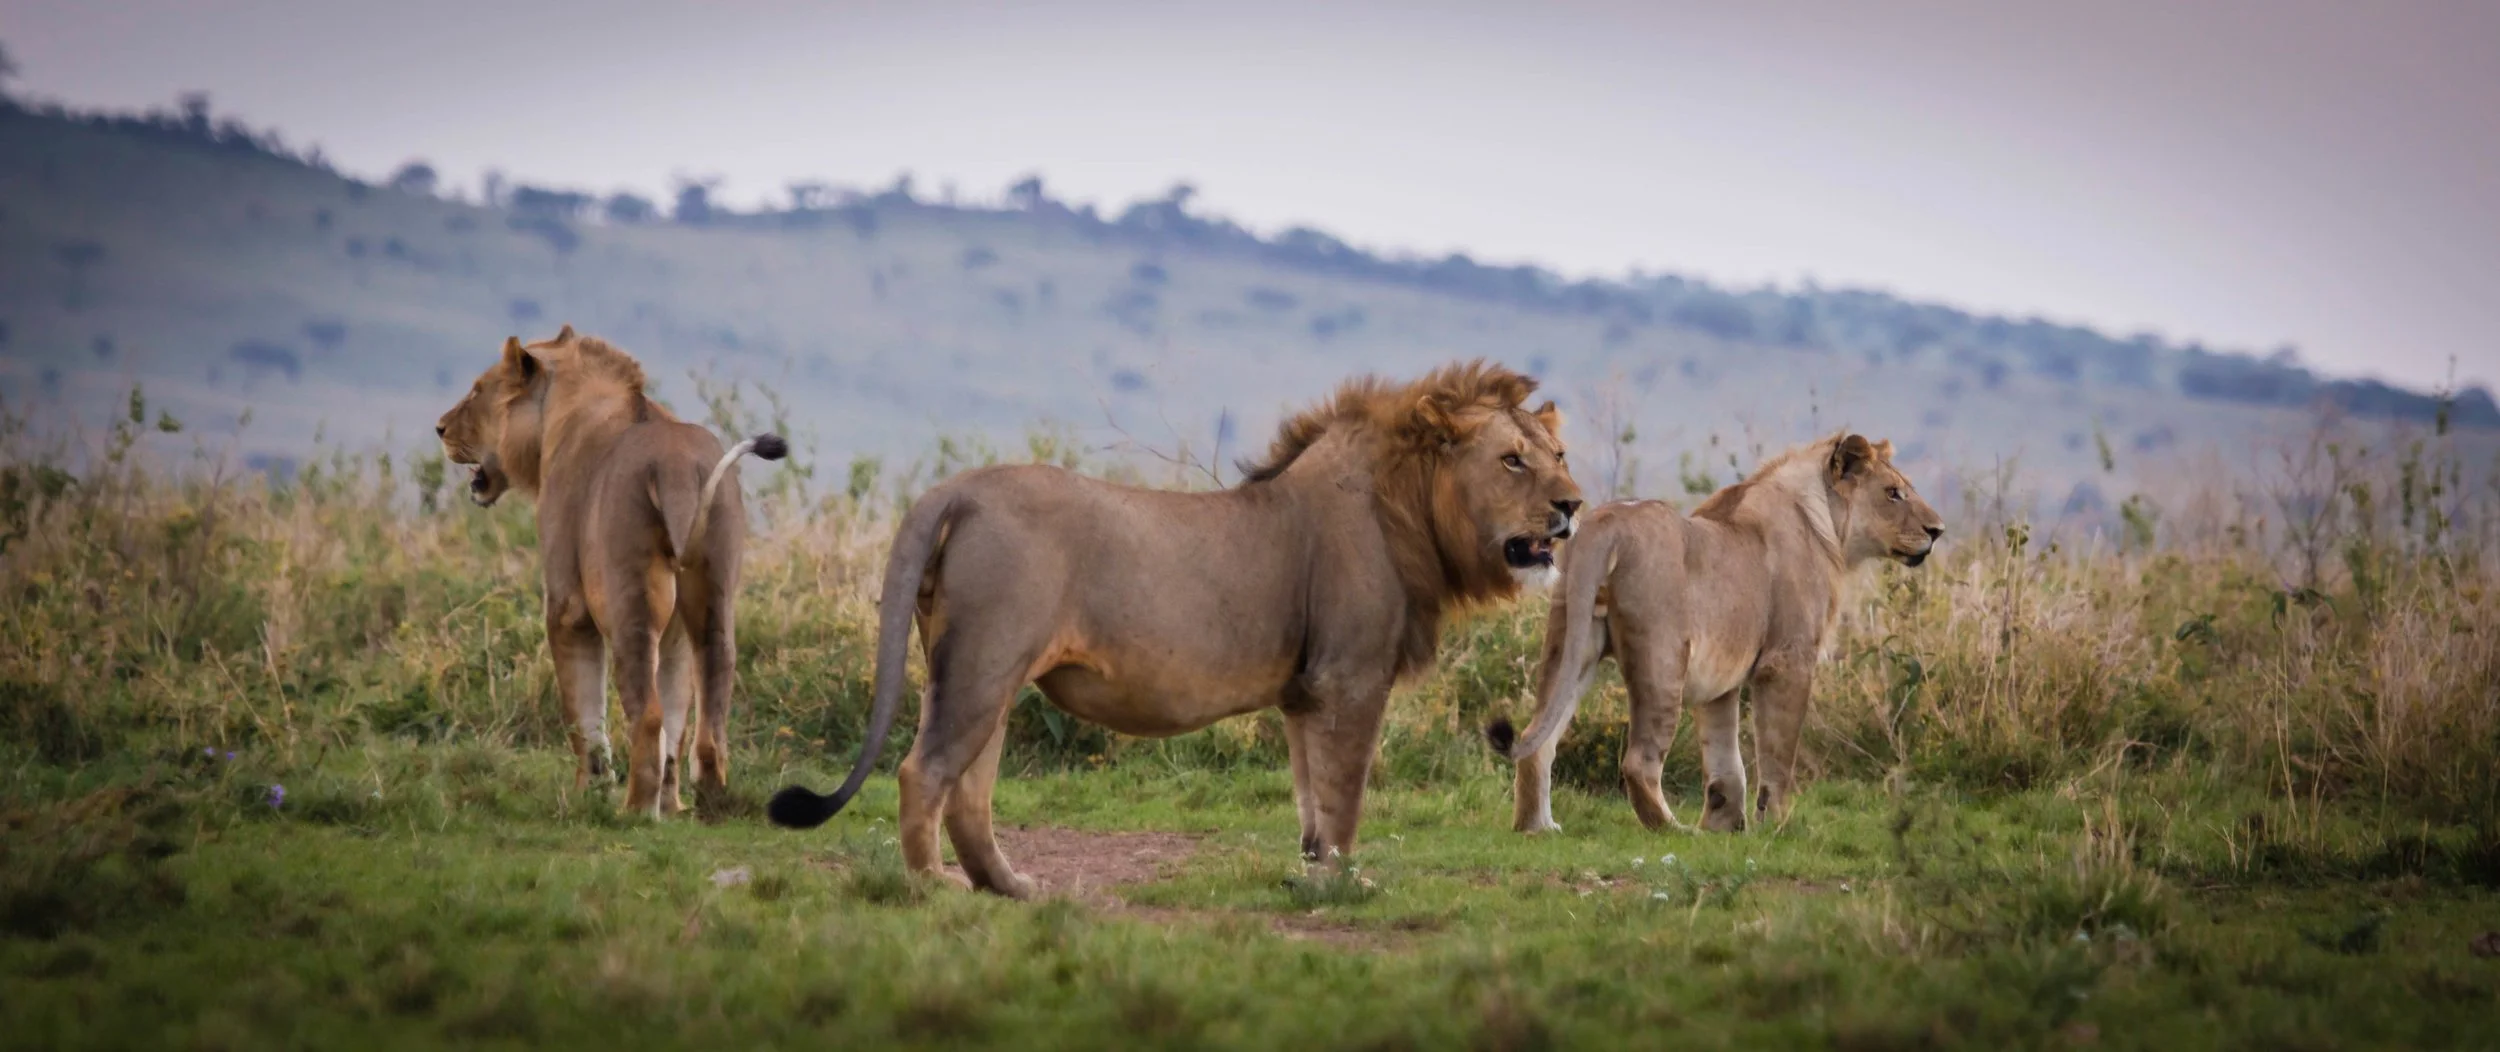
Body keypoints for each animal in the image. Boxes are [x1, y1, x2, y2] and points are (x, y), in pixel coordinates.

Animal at [436, 325, 787, 816]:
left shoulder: (566, 606)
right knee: (709, 706)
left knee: (648, 716)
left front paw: (589, 791)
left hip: (628, 602)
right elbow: (676, 715)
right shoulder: (674, 634)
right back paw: (704, 802)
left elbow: (583, 714)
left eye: (477, 390)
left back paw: (635, 810)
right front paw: (668, 806)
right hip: (712, 595)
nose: (440, 428)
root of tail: (676, 465)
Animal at [768, 361, 1582, 897]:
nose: (1573, 505)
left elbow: (1310, 799)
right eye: (1512, 461)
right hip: (982, 664)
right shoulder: (1350, 680)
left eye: (1559, 455)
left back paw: (1010, 887)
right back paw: (931, 888)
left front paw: (1312, 875)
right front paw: (1350, 883)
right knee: (925, 772)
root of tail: (956, 489)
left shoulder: (1305, 695)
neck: (1406, 511)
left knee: (970, 791)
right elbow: (1345, 795)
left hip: (979, 669)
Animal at [1486, 433, 1941, 834]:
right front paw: (1777, 825)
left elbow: (1726, 762)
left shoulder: (1720, 679)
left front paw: (1724, 826)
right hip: (1663, 657)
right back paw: (1676, 830)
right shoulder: (1787, 660)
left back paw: (1538, 828)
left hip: (1571, 642)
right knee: (1638, 762)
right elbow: (1778, 754)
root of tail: (1604, 524)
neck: (1826, 524)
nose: (1937, 530)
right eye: (1893, 493)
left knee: (1536, 741)